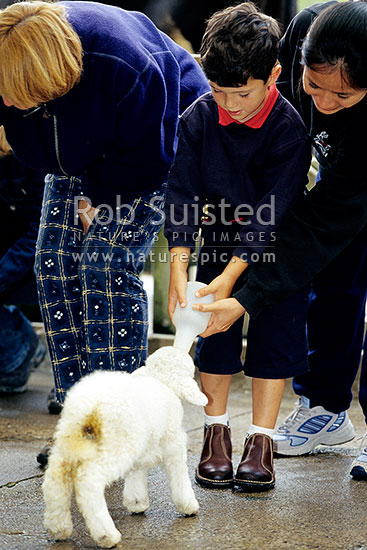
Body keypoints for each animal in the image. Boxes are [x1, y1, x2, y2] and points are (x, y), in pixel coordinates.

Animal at [43, 348, 207, 548]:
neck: (160, 379)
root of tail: (86, 406)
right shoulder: (173, 443)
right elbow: (179, 475)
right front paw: (188, 505)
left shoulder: (140, 449)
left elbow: (136, 473)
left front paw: (136, 503)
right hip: (112, 446)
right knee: (89, 482)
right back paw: (107, 535)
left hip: (70, 442)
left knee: (55, 480)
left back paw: (59, 528)